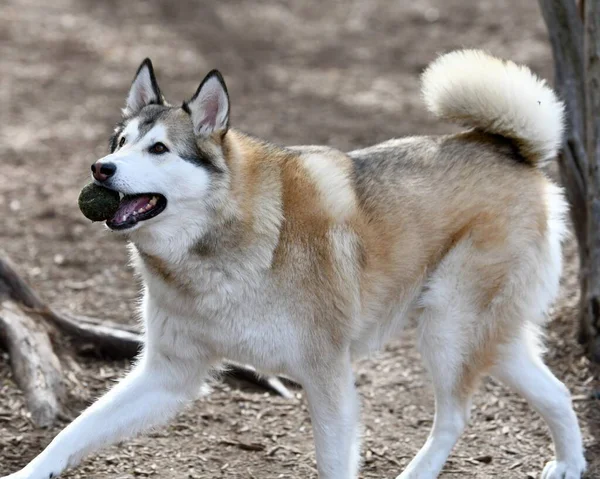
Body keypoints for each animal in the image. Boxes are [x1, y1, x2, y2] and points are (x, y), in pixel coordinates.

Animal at [2, 50, 584, 478]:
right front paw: (29, 472)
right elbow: (73, 431)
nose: (100, 169)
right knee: (556, 392)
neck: (224, 244)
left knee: (456, 416)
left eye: (159, 149)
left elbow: (333, 462)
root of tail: (511, 149)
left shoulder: (327, 379)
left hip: (447, 329)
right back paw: (569, 463)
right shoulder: (168, 375)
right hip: (487, 338)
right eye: (121, 143)